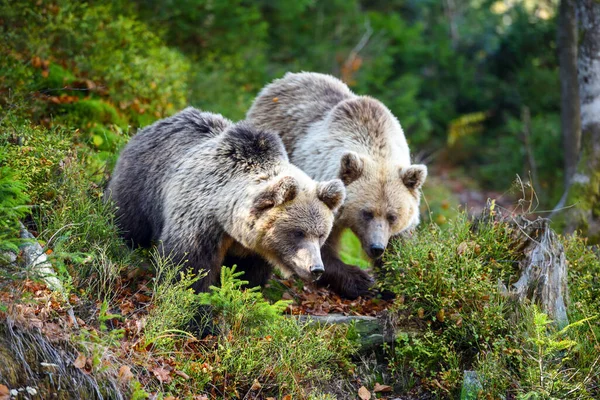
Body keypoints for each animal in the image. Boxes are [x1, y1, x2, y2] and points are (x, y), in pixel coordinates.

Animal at [105, 108, 344, 292]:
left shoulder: (252, 249)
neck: (229, 222)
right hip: (142, 183)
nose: (316, 269)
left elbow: (248, 275)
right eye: (298, 232)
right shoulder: (201, 221)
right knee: (128, 220)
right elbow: (188, 265)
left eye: (321, 235)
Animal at [247, 72, 426, 298]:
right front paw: (361, 280)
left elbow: (400, 245)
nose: (377, 247)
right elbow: (318, 243)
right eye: (366, 213)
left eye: (392, 216)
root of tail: (285, 79)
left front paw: (393, 282)